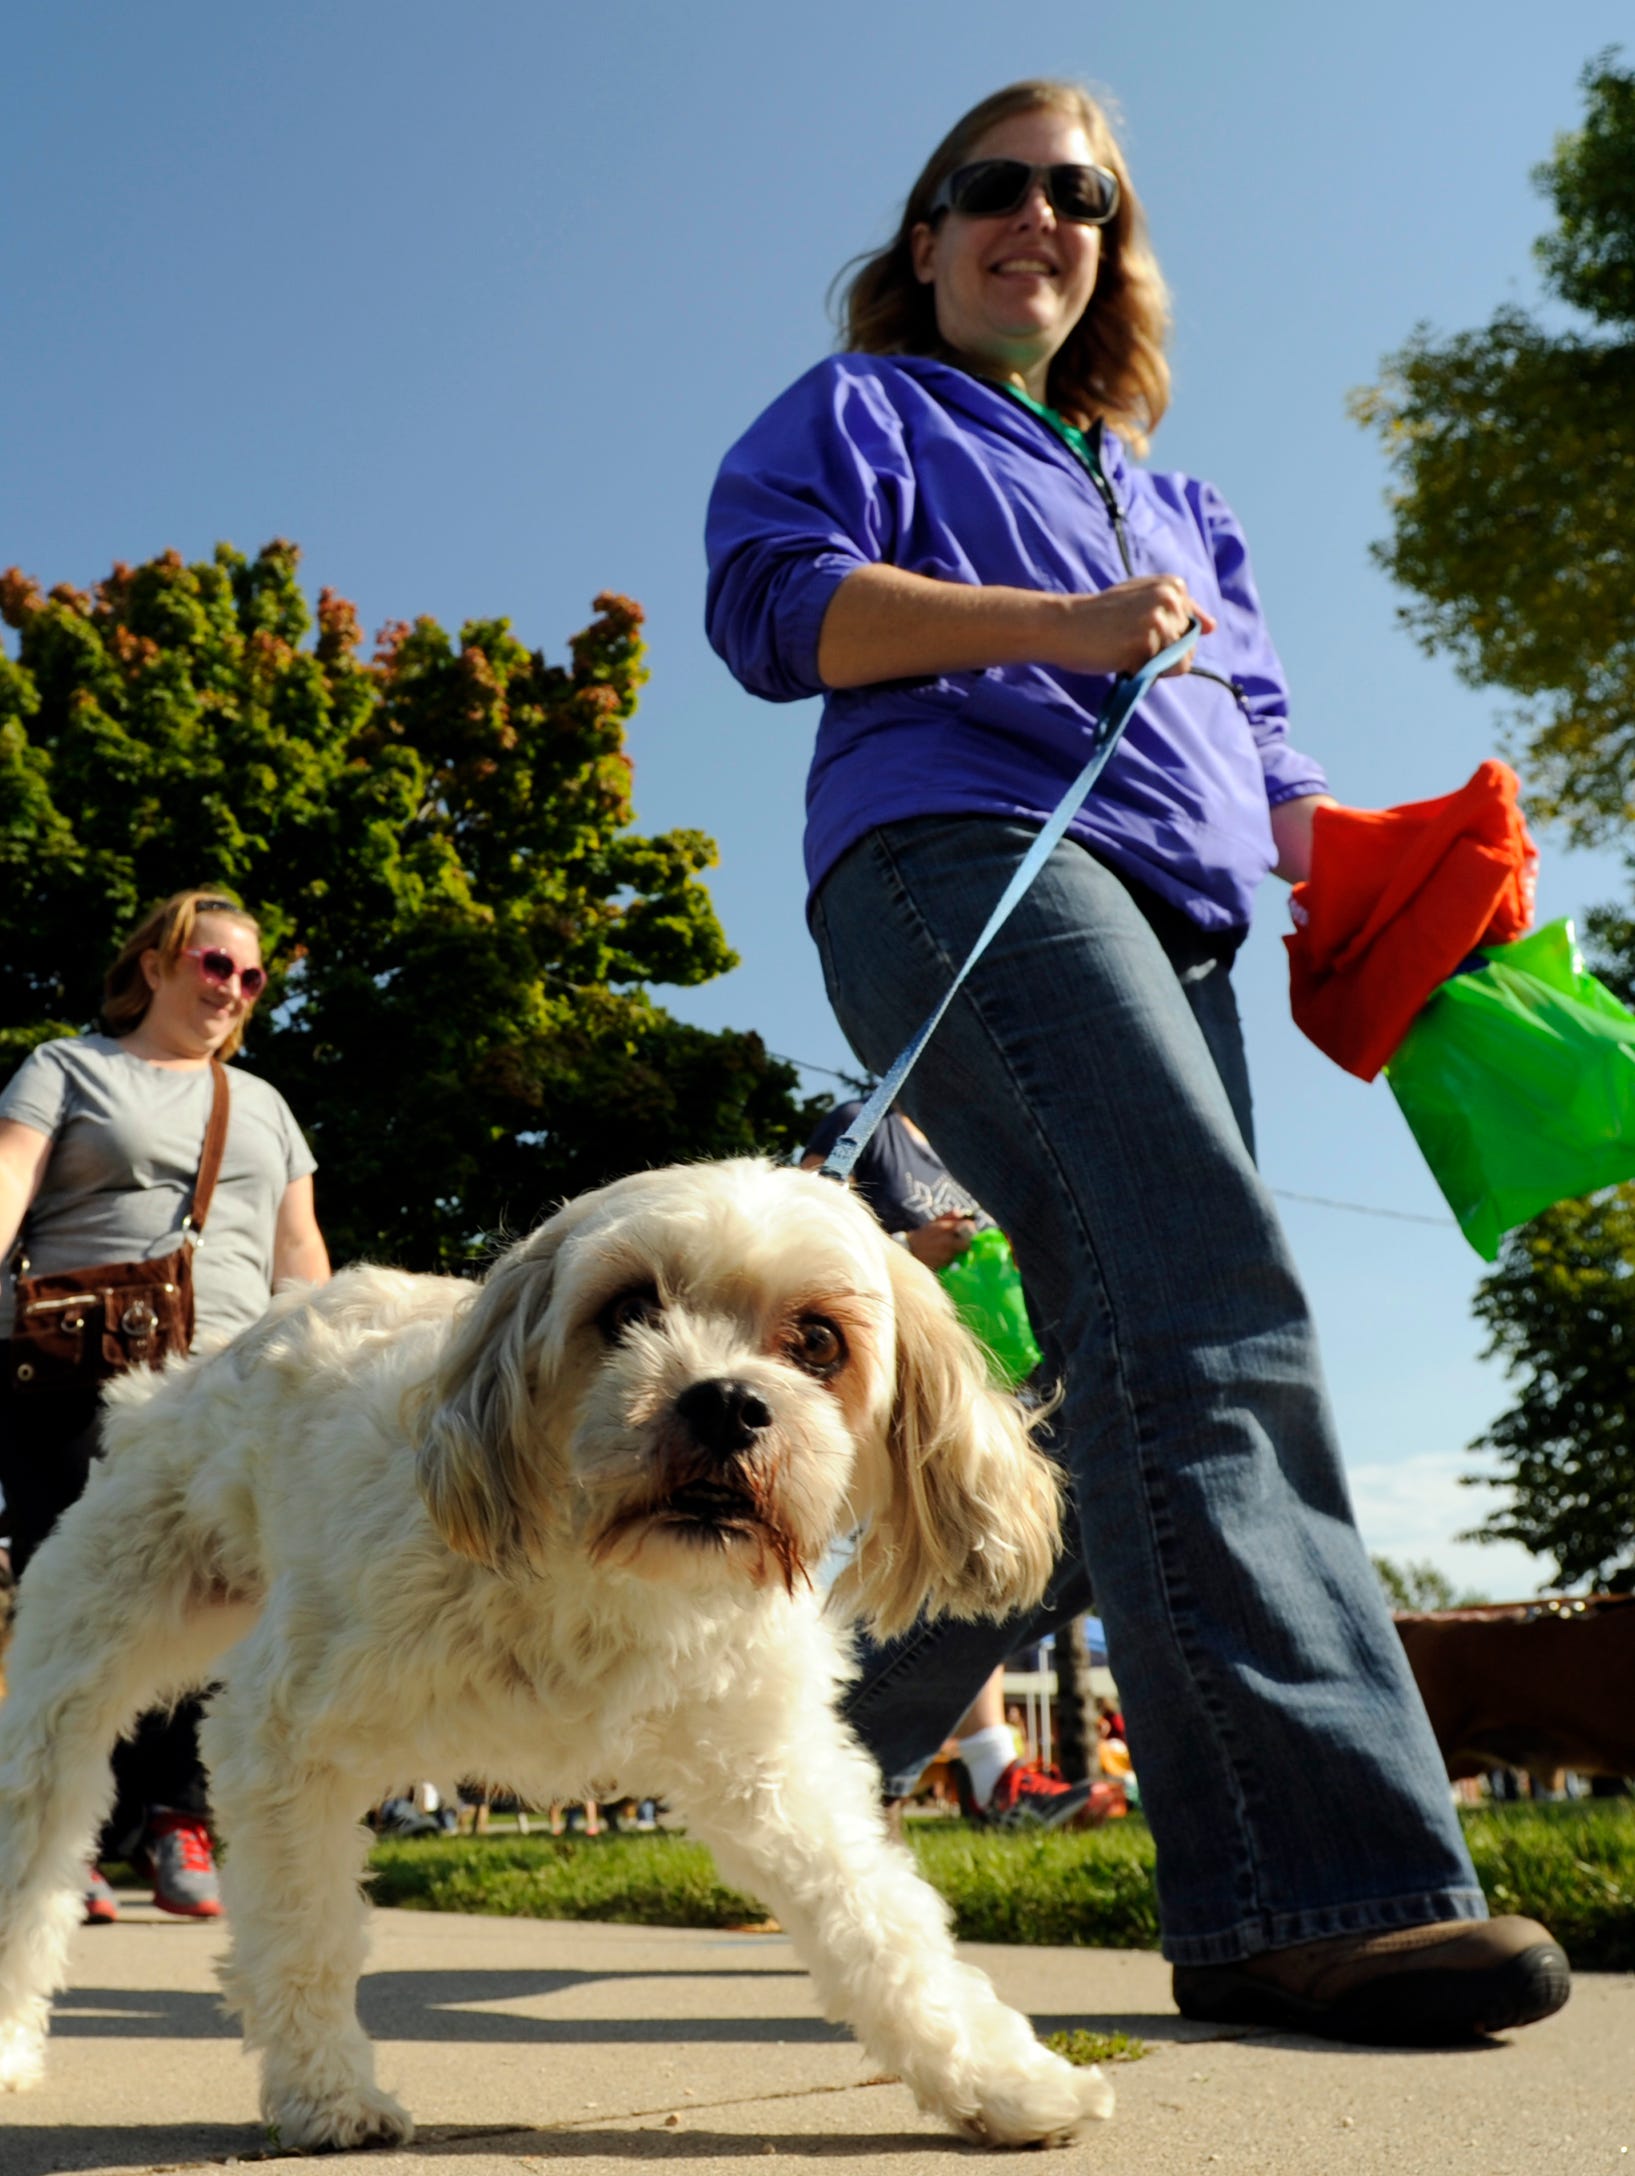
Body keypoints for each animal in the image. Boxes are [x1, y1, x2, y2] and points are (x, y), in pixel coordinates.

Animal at [0, 1166, 1114, 2149]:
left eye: (817, 1341)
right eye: (626, 1309)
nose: (726, 1402)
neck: (607, 1582)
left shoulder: (775, 1767)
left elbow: (881, 1925)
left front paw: (997, 2080)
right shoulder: (278, 1739)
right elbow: (305, 1935)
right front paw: (328, 2097)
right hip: (74, 1677)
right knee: (39, 1847)